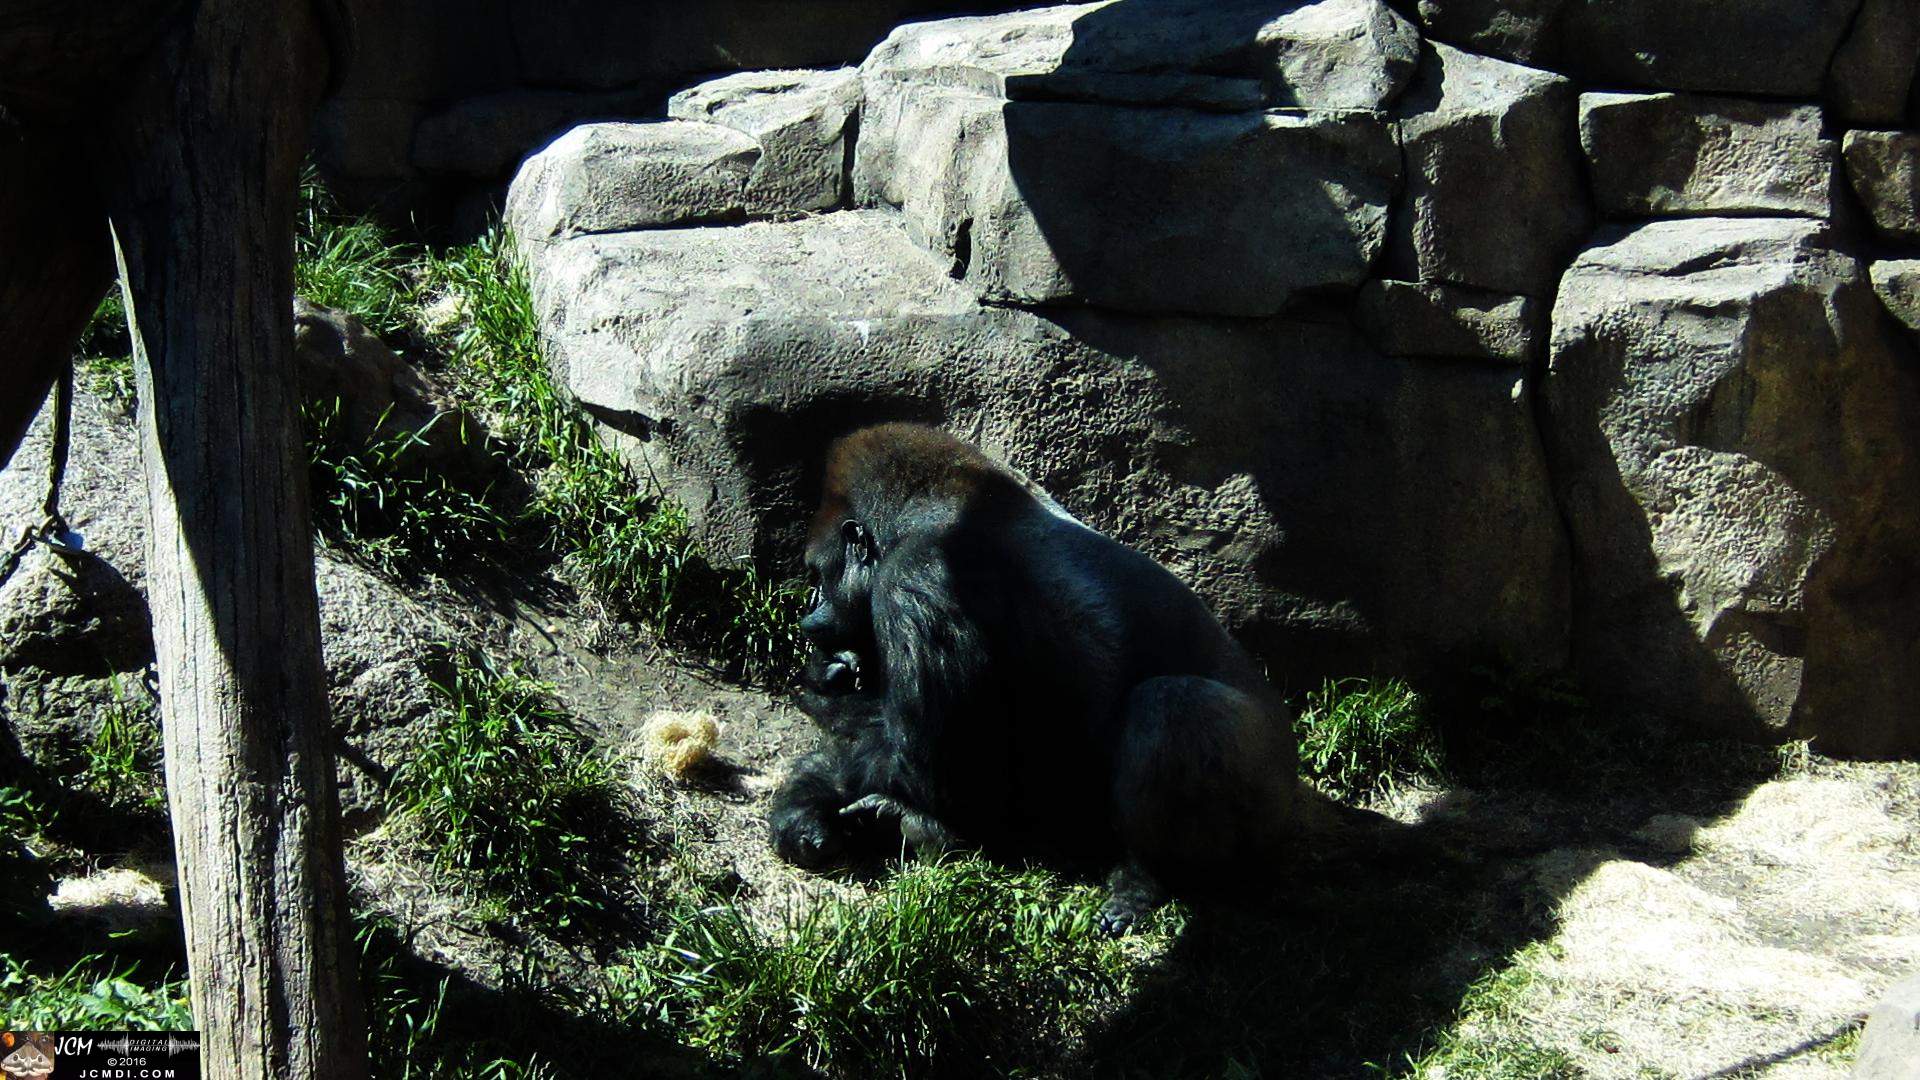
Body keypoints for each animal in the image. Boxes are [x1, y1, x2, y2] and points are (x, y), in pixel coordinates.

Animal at [768, 422, 1303, 933]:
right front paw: (807, 804)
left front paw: (821, 696)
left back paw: (1147, 879)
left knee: (1175, 703)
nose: (807, 611)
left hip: (1268, 801)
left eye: (816, 574)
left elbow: (935, 768)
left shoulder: (915, 577)